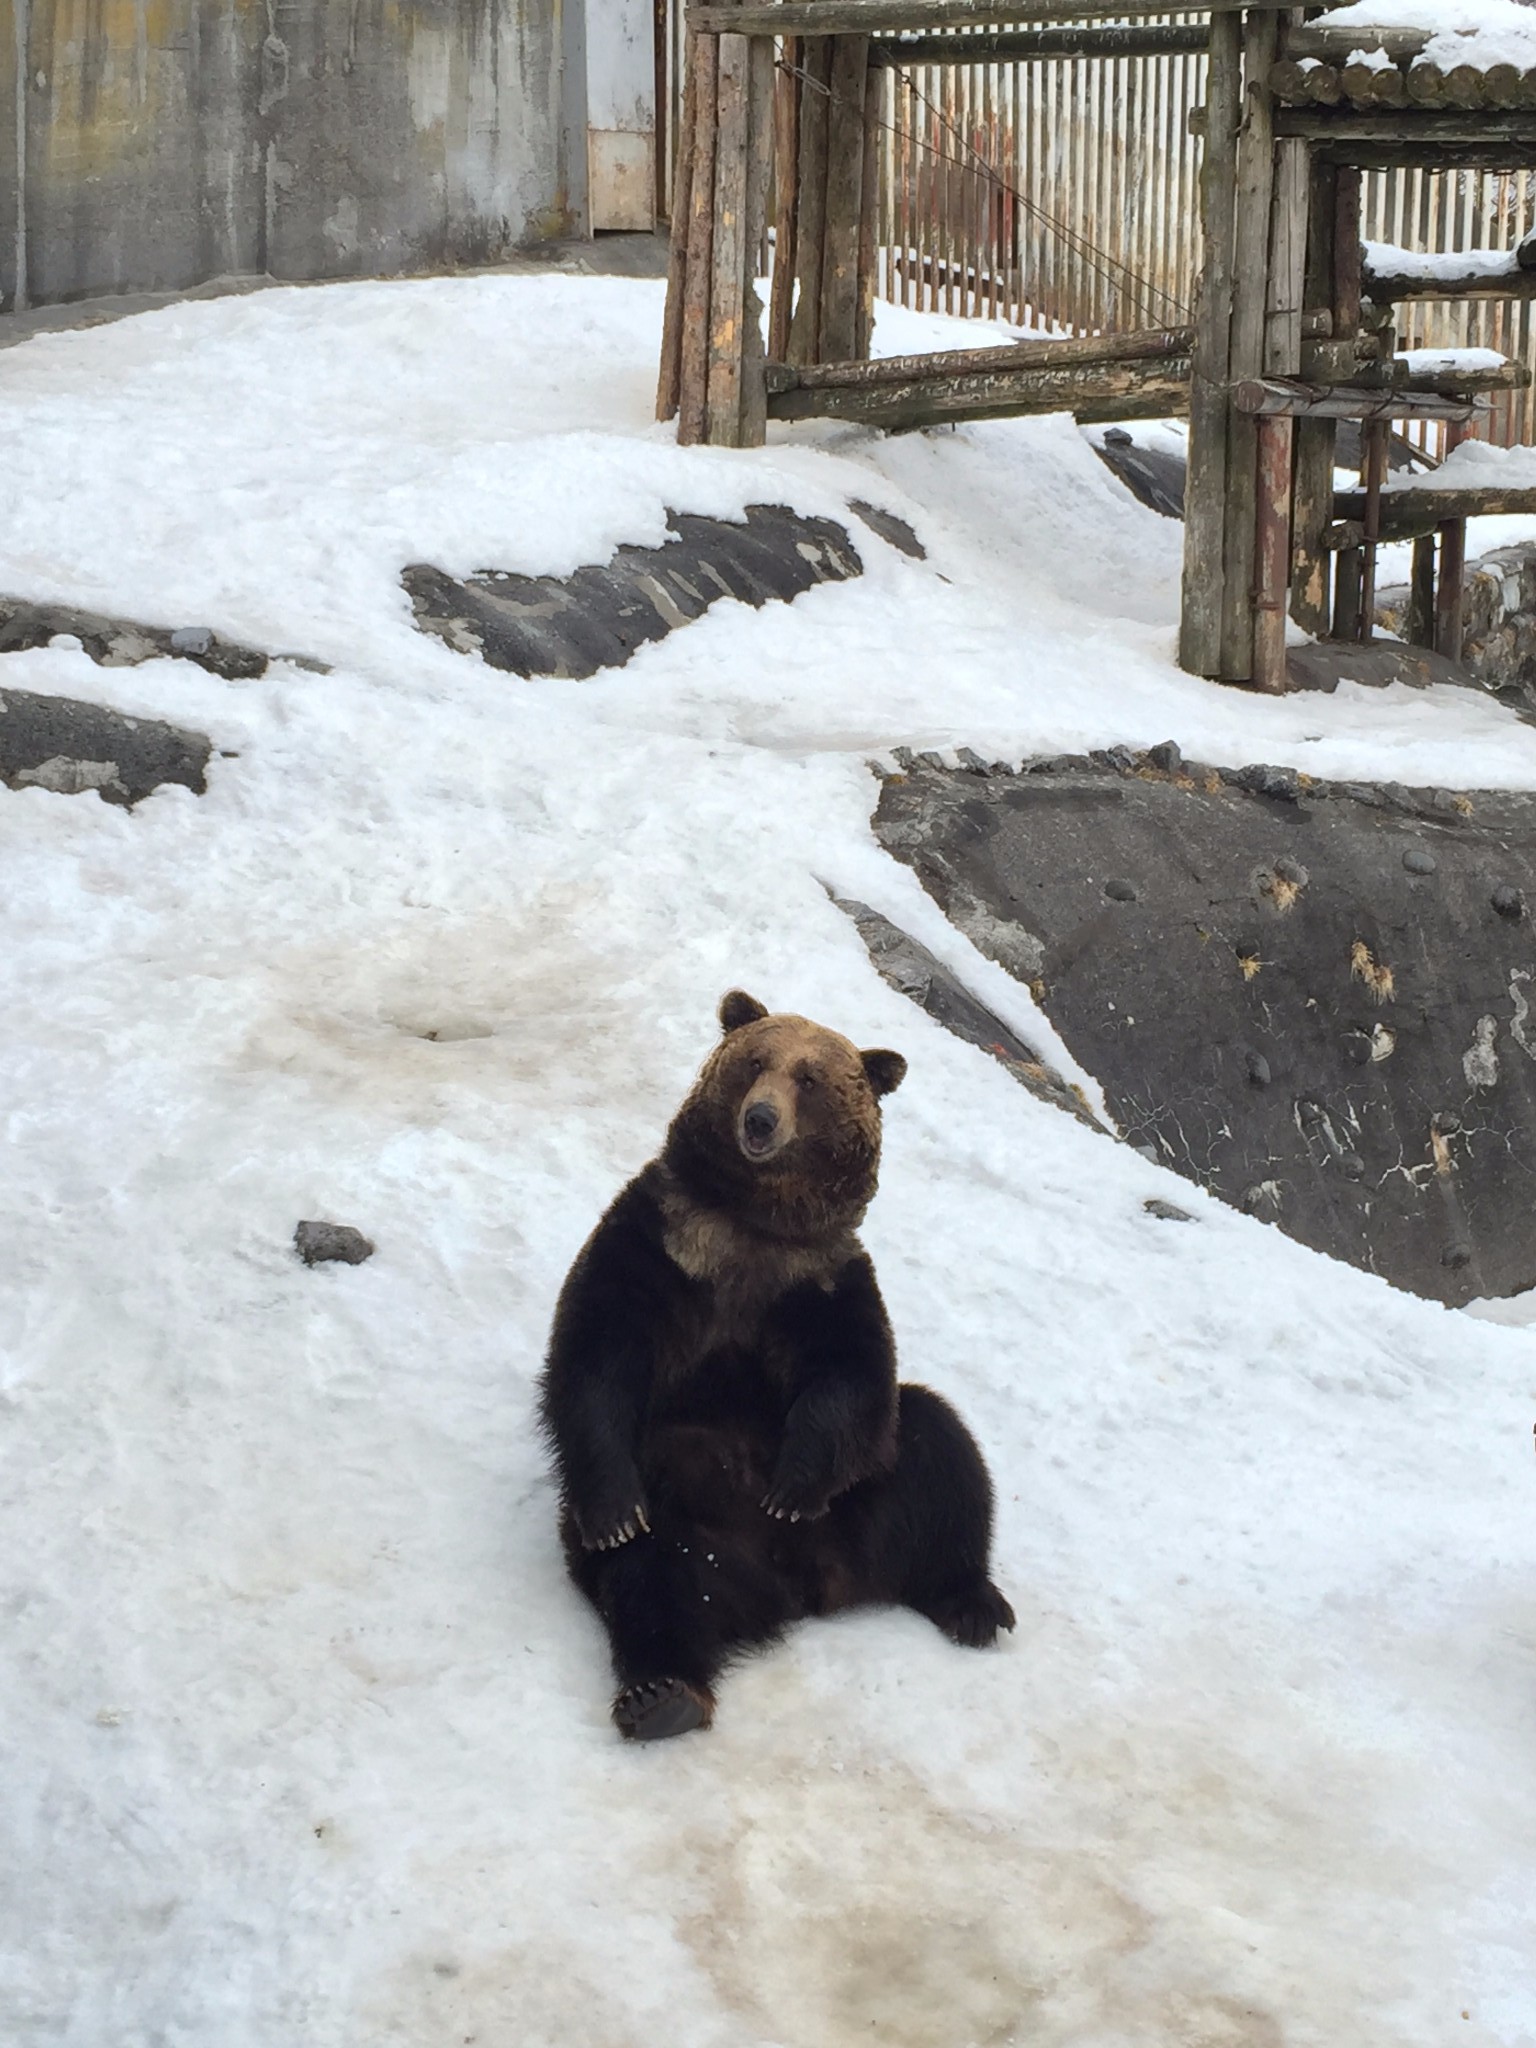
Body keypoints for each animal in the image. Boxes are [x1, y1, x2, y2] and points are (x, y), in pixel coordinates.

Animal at [536, 991, 1015, 1744]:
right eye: (756, 1061)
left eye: (811, 1079)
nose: (760, 1119)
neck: (752, 1224)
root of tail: (802, 1591)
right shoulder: (662, 1246)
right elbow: (596, 1354)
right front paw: (613, 1511)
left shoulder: (819, 1283)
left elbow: (854, 1379)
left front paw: (790, 1486)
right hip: (687, 1520)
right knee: (651, 1582)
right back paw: (662, 1693)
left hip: (868, 1503)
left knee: (938, 1448)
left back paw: (971, 1602)